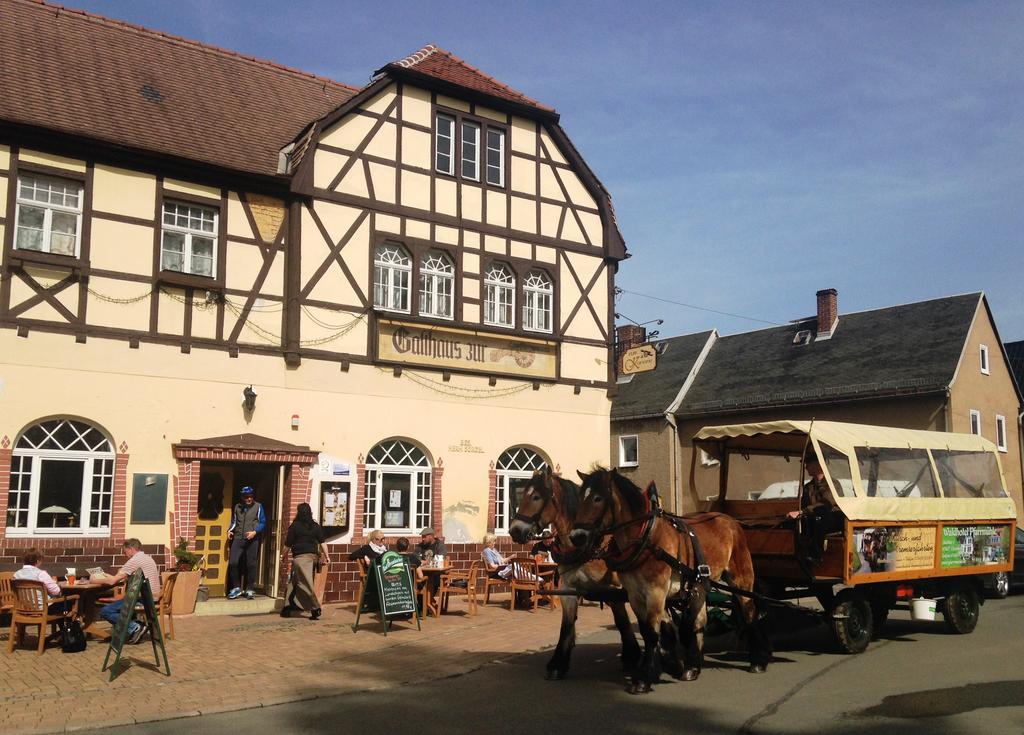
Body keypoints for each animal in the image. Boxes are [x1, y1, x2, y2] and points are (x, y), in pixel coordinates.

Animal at [505, 468, 634, 683]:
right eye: (522, 495)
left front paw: (633, 657)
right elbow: (566, 626)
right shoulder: (568, 589)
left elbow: (622, 622)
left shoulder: (614, 589)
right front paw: (558, 663)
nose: (514, 531)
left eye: (536, 496)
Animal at [569, 472, 770, 696]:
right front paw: (658, 669)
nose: (576, 537)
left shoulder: (655, 592)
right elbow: (647, 630)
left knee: (749, 612)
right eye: (581, 498)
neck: (646, 539)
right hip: (699, 585)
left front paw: (644, 678)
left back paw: (758, 660)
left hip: (741, 579)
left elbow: (651, 633)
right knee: (700, 620)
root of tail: (729, 520)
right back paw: (693, 667)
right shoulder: (634, 595)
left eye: (597, 498)